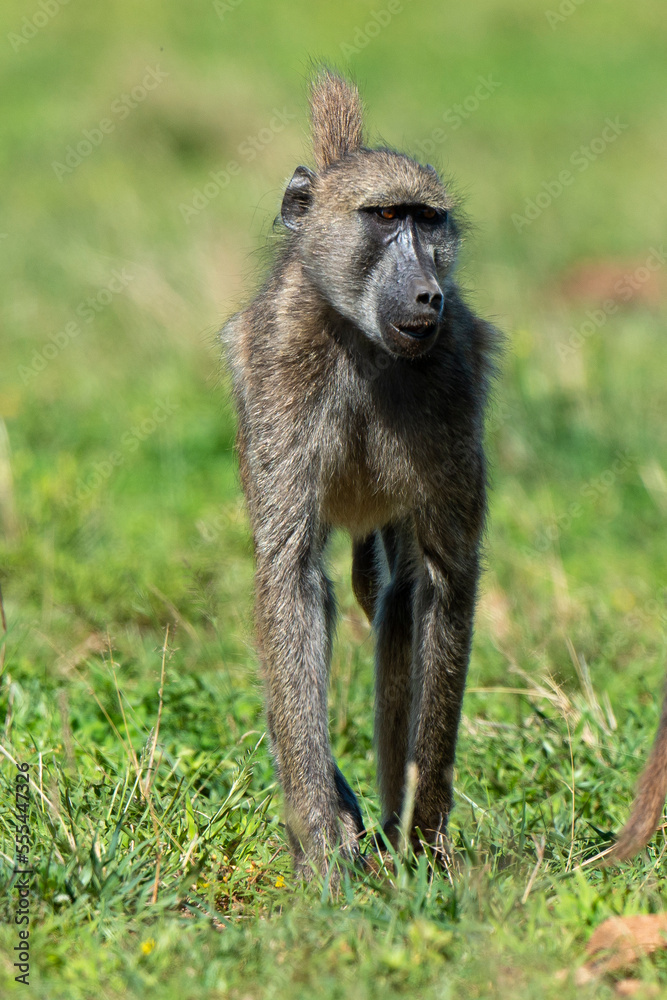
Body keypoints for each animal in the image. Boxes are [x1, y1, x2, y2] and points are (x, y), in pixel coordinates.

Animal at [222, 69, 500, 879]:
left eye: (427, 221)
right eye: (382, 217)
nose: (427, 294)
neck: (363, 343)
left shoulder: (452, 378)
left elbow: (442, 579)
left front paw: (426, 843)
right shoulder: (280, 370)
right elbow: (290, 578)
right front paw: (319, 846)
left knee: (394, 599)